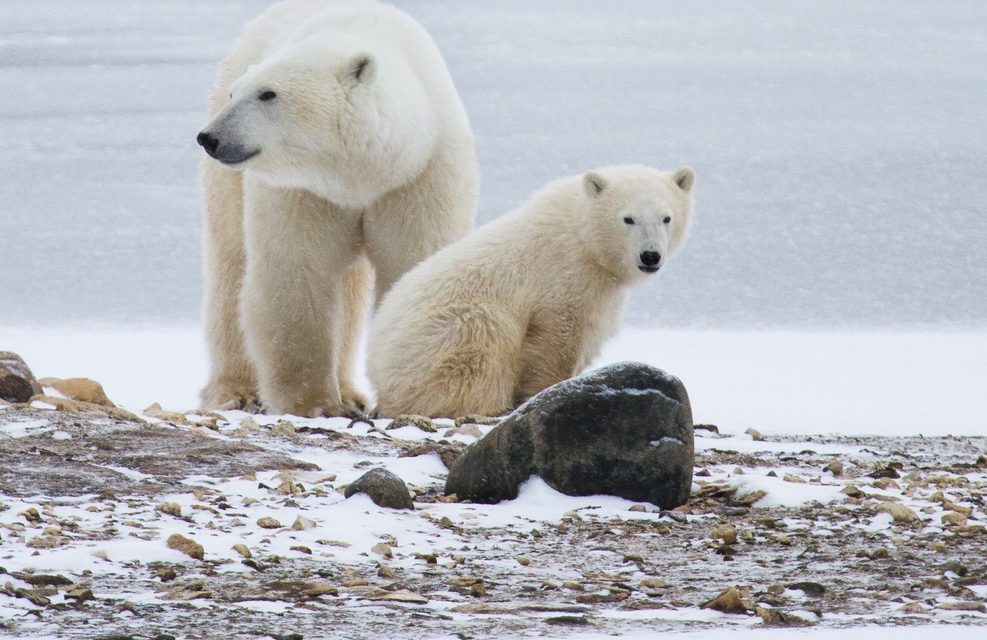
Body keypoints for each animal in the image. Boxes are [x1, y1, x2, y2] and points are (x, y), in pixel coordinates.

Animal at [196, 0, 478, 417]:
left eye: (268, 94)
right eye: (236, 94)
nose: (210, 138)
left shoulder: (418, 178)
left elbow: (416, 266)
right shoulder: (304, 191)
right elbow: (297, 275)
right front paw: (316, 403)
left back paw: (352, 392)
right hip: (228, 182)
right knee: (231, 262)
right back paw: (237, 390)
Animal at [367, 164, 695, 418]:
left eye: (666, 218)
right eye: (628, 218)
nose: (650, 256)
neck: (582, 236)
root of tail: (376, 370)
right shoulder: (564, 275)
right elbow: (557, 337)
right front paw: (546, 392)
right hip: (443, 337)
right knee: (484, 339)